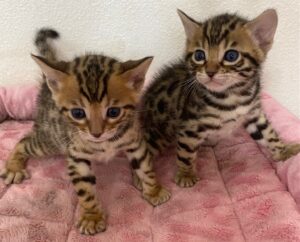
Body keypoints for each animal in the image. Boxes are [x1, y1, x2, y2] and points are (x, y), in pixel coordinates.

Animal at [0, 28, 169, 234]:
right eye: (78, 113)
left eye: (114, 112)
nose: (96, 133)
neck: (105, 142)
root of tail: (47, 87)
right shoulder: (76, 154)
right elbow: (85, 190)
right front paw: (92, 217)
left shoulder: (134, 141)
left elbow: (145, 166)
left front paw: (154, 190)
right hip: (52, 140)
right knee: (24, 140)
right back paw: (13, 167)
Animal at [129, 8, 300, 191]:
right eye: (199, 55)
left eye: (231, 56)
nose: (210, 72)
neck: (232, 95)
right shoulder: (190, 125)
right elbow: (185, 153)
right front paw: (186, 174)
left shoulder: (252, 112)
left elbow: (268, 133)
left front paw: (284, 151)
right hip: (159, 133)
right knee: (142, 153)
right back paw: (140, 179)